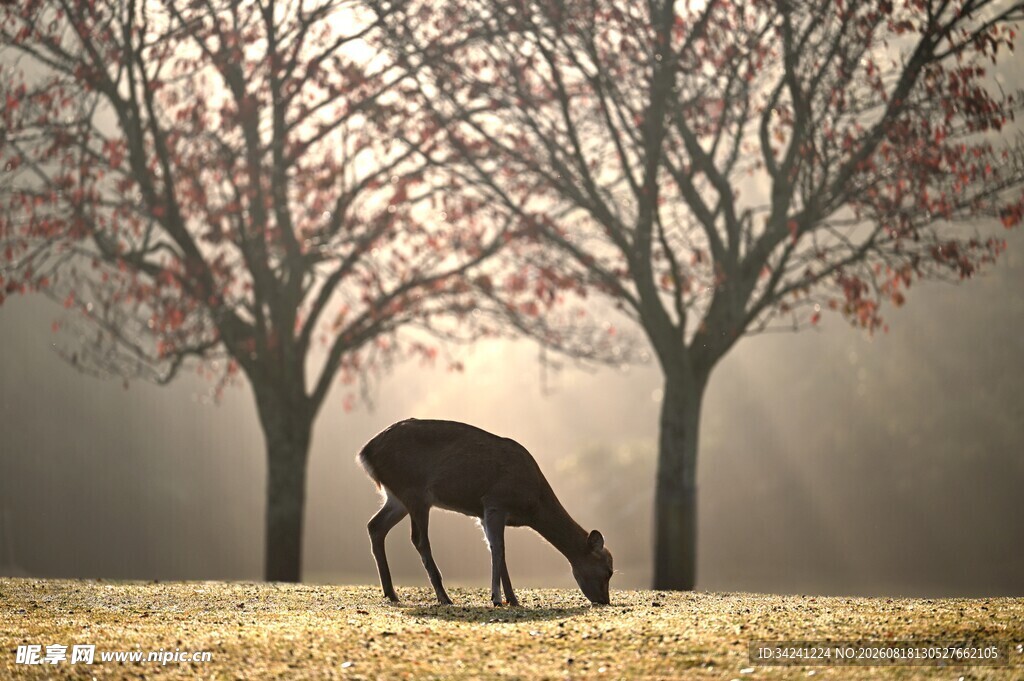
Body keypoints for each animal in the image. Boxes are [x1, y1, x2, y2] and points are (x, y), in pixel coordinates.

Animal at [358, 418, 613, 606]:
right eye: (608, 570)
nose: (605, 601)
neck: (533, 502)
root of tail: (365, 452)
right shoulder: (495, 502)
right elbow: (499, 549)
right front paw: (498, 598)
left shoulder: (483, 514)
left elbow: (495, 549)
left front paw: (511, 599)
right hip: (415, 491)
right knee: (418, 538)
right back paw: (444, 597)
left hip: (396, 497)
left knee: (375, 526)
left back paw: (391, 593)